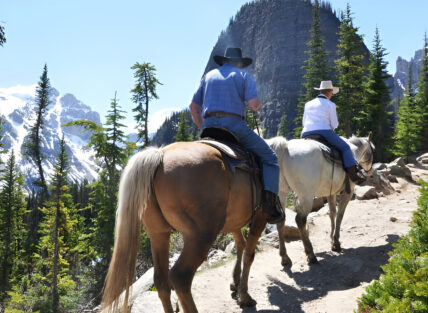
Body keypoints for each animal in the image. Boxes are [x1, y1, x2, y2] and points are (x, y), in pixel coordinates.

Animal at [100, 142, 290, 312]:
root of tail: (159, 156)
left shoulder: (234, 221)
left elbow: (240, 245)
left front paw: (235, 284)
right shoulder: (260, 216)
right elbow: (249, 254)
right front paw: (244, 296)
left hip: (158, 234)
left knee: (161, 281)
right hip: (200, 237)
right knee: (180, 277)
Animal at [268, 133, 374, 264]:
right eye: (372, 150)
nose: (369, 170)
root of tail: (285, 147)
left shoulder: (331, 193)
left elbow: (332, 213)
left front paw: (332, 240)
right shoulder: (347, 193)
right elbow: (340, 215)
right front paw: (336, 242)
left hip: (281, 194)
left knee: (281, 221)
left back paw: (285, 257)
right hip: (306, 196)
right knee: (300, 220)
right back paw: (311, 254)